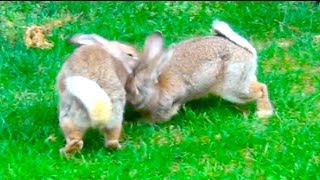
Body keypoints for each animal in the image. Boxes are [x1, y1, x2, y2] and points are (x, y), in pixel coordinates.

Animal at [124, 19, 272, 124]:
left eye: (138, 88)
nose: (129, 102)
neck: (156, 87)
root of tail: (249, 53)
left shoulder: (166, 106)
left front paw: (139, 122)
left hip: (233, 87)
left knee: (261, 88)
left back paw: (264, 113)